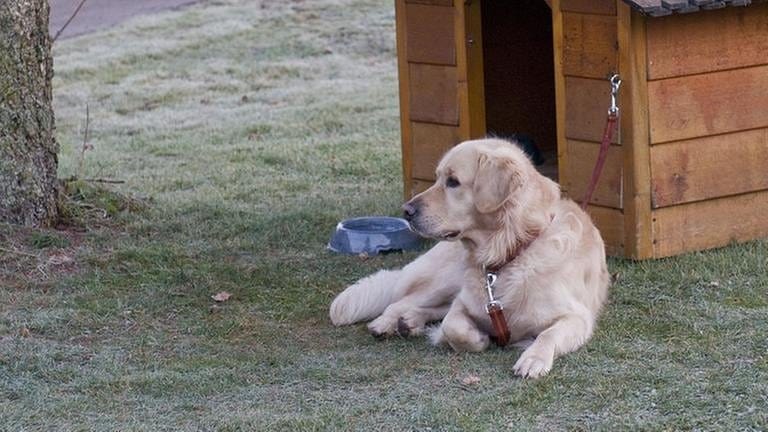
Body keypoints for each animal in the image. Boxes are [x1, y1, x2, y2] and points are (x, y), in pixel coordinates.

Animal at [330, 138, 612, 378]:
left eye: (453, 181)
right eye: (437, 178)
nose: (406, 211)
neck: (513, 250)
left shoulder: (577, 317)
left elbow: (548, 335)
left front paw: (533, 359)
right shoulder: (464, 304)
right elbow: (451, 326)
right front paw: (476, 338)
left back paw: (409, 322)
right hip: (444, 280)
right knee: (400, 302)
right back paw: (387, 323)